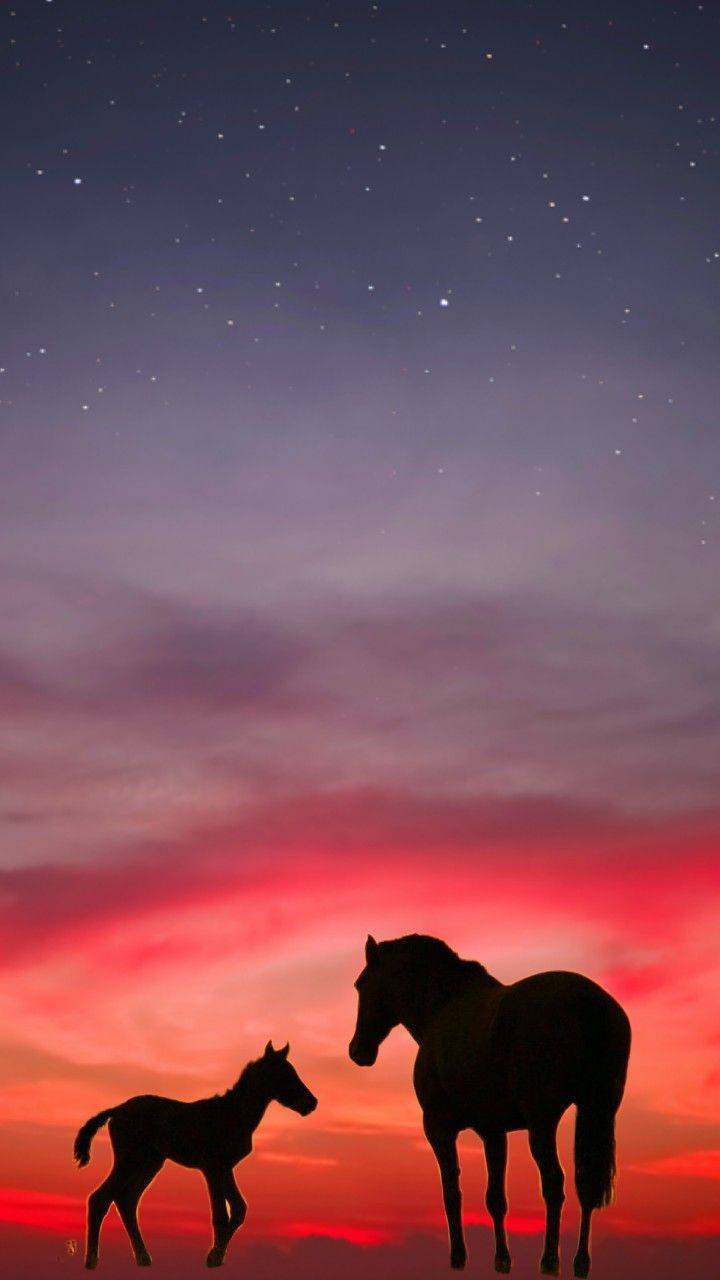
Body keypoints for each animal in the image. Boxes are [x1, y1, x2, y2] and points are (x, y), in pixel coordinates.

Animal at [74, 1040, 317, 1269]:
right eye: (286, 1075)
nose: (312, 1103)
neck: (232, 1114)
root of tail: (116, 1110)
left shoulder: (225, 1167)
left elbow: (238, 1208)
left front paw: (217, 1255)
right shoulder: (212, 1167)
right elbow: (221, 1214)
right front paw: (214, 1257)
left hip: (149, 1163)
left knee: (126, 1200)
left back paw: (143, 1257)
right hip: (129, 1160)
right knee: (100, 1199)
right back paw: (92, 1261)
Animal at [349, 934, 630, 1278]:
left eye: (361, 985)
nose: (357, 1050)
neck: (441, 1009)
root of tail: (590, 1003)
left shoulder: (437, 1127)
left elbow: (451, 1191)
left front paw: (458, 1257)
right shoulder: (493, 1131)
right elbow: (495, 1198)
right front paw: (502, 1259)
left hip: (543, 1122)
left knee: (554, 1183)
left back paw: (550, 1260)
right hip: (597, 1109)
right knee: (586, 1184)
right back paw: (581, 1262)